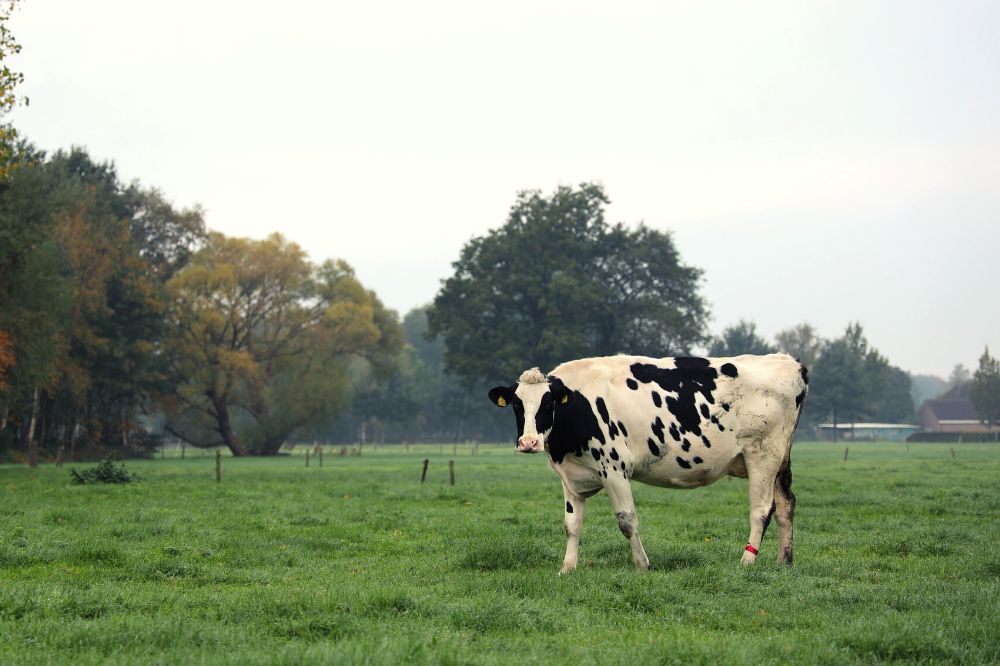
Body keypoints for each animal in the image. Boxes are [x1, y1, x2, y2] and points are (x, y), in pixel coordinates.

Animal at [488, 352, 808, 572]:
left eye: (548, 403)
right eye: (516, 404)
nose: (528, 442)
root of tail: (788, 361)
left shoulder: (614, 469)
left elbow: (627, 521)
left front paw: (643, 565)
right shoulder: (571, 476)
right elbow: (572, 524)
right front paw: (567, 568)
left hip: (762, 455)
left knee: (761, 510)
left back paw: (746, 561)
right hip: (779, 462)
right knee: (786, 505)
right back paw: (784, 561)